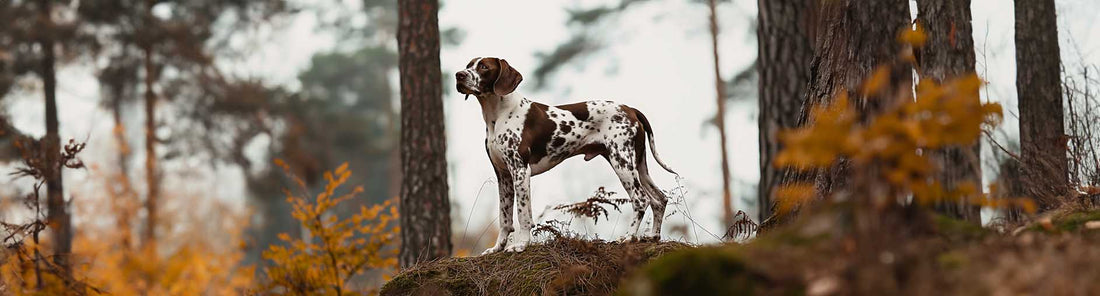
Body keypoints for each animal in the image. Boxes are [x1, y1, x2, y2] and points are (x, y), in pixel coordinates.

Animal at [455, 57, 677, 253]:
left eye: (483, 66)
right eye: (468, 65)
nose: (459, 75)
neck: (498, 114)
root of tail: (630, 109)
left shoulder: (520, 172)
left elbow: (523, 215)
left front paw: (521, 245)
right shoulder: (503, 176)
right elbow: (505, 218)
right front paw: (497, 248)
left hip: (622, 163)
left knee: (641, 200)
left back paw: (628, 237)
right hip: (638, 165)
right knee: (659, 199)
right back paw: (653, 236)